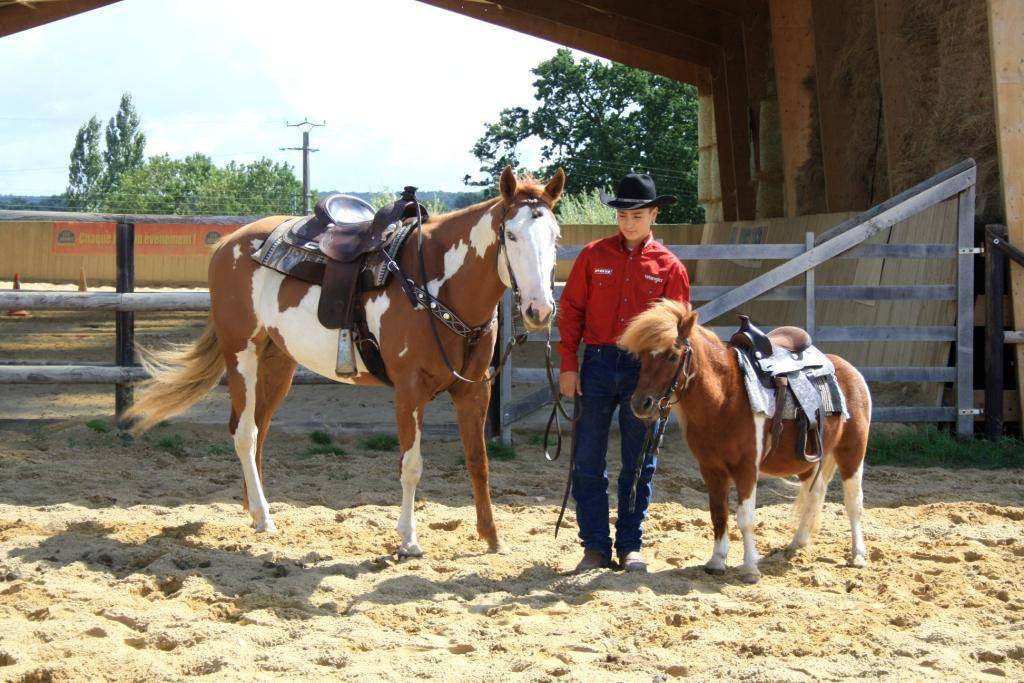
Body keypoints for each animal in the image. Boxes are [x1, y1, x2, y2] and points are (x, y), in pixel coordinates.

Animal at [125, 166, 565, 557]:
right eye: (511, 234)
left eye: (556, 236)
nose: (540, 310)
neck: (437, 285)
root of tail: (227, 245)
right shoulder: (409, 390)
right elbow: (411, 464)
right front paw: (408, 540)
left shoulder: (474, 390)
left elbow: (479, 461)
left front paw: (492, 538)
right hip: (242, 354)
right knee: (245, 433)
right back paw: (265, 518)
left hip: (277, 362)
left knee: (255, 430)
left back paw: (254, 510)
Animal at [618, 300, 871, 583]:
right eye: (642, 356)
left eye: (673, 356)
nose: (640, 404)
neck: (725, 398)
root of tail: (849, 370)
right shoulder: (711, 469)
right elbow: (718, 514)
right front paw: (716, 562)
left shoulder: (746, 468)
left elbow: (746, 518)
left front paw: (750, 568)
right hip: (809, 459)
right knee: (814, 494)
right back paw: (796, 544)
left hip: (852, 453)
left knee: (853, 502)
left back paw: (858, 556)